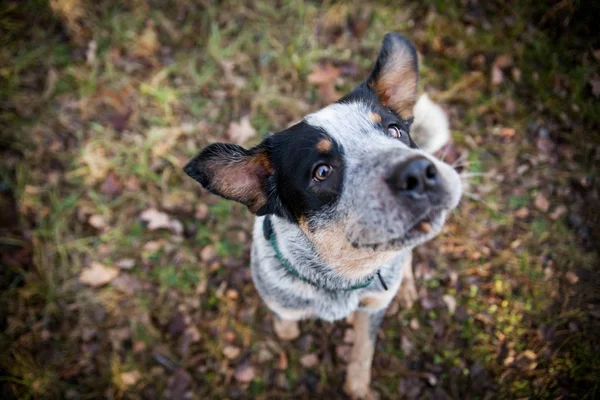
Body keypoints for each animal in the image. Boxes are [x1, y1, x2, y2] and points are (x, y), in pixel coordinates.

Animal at [185, 33, 462, 396]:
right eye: (322, 172)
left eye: (394, 131)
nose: (418, 172)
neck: (341, 278)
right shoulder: (281, 299)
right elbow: (286, 320)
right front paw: (287, 330)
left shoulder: (372, 307)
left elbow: (363, 351)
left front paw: (358, 388)